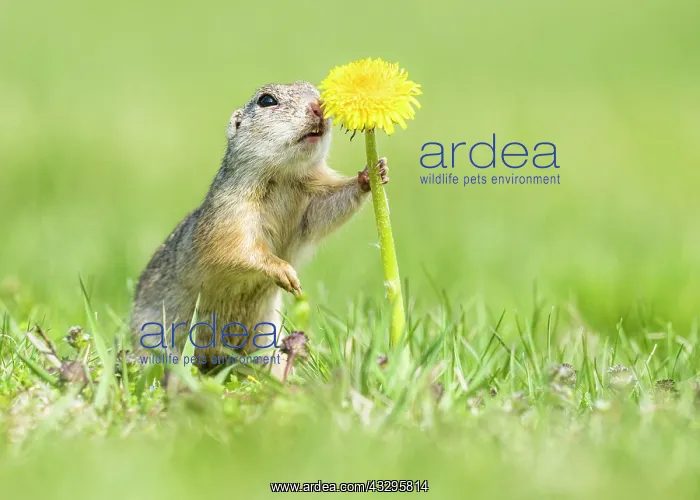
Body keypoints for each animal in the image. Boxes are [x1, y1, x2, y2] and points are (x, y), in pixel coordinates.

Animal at [131, 81, 389, 373]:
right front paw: (285, 273)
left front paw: (372, 173)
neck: (283, 178)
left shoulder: (311, 199)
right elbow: (237, 249)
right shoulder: (231, 212)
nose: (319, 106)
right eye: (266, 100)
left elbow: (328, 209)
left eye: (314, 89)